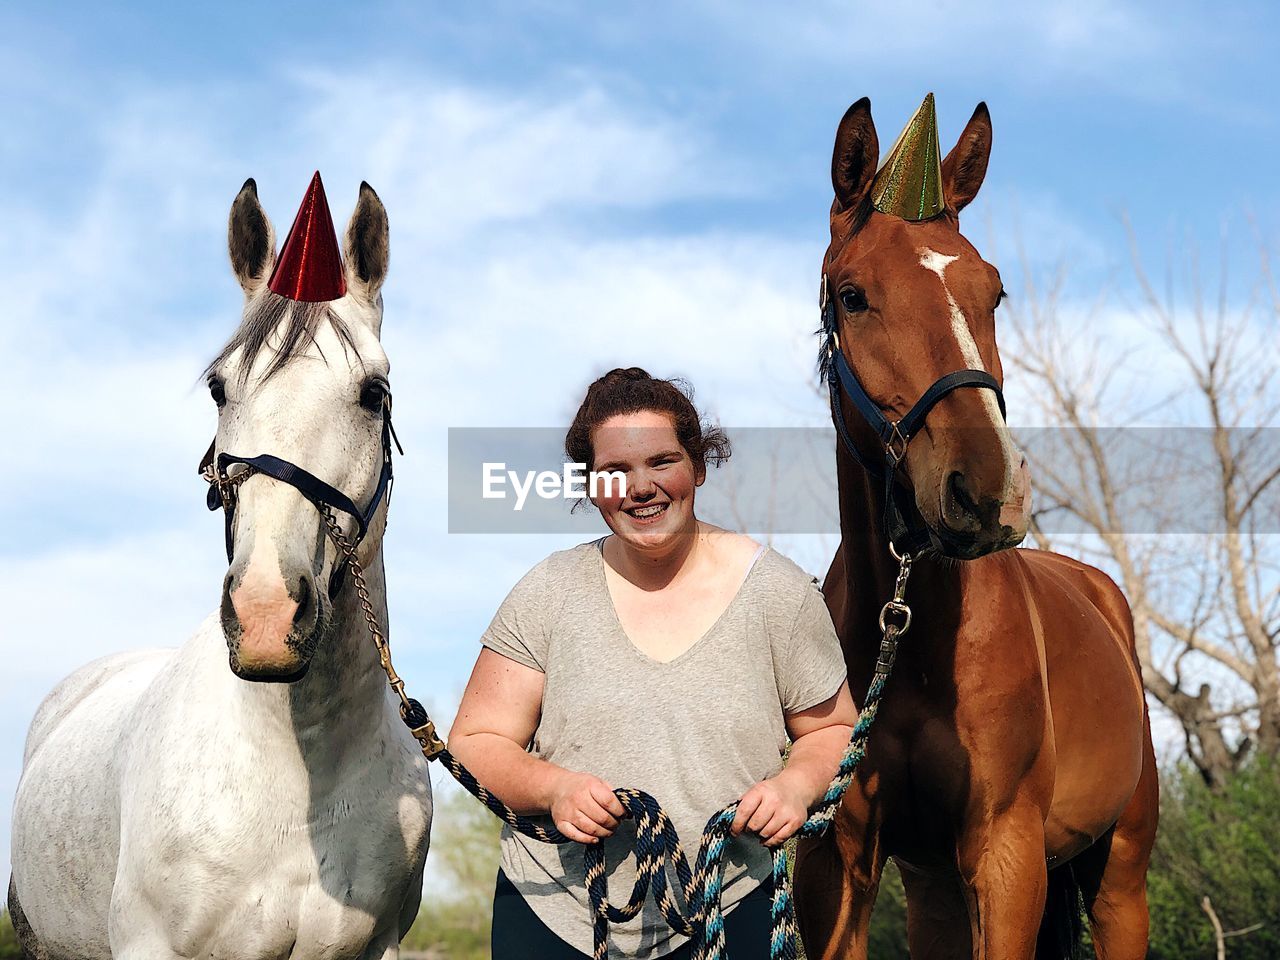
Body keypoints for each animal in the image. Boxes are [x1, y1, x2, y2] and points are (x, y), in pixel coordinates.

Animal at [788, 97, 1162, 960]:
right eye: (852, 295)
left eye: (993, 293)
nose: (987, 491)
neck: (916, 640)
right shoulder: (838, 865)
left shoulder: (1006, 853)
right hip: (934, 890)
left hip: (1120, 875)